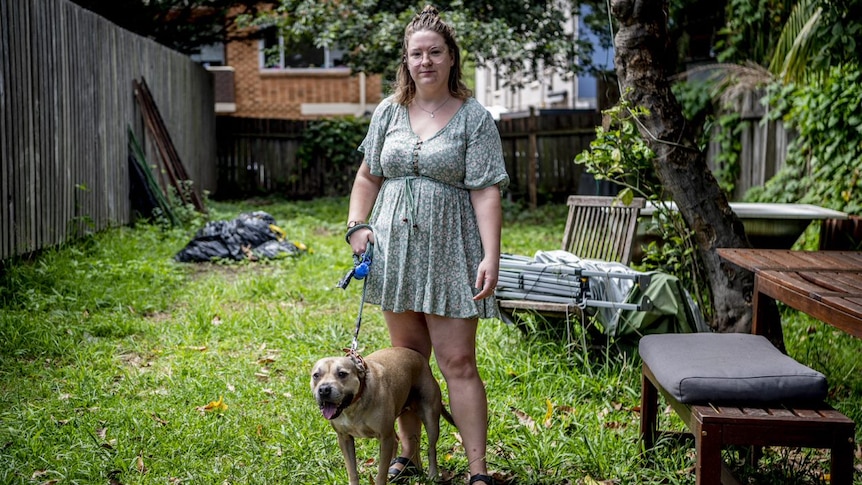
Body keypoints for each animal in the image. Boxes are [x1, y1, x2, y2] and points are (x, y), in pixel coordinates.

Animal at [314, 346, 452, 484]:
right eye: (316, 375)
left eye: (342, 374)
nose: (324, 389)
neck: (354, 405)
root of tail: (422, 360)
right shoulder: (344, 438)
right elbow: (352, 471)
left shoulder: (385, 437)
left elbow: (381, 473)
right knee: (396, 440)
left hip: (430, 419)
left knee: (431, 448)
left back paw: (433, 474)